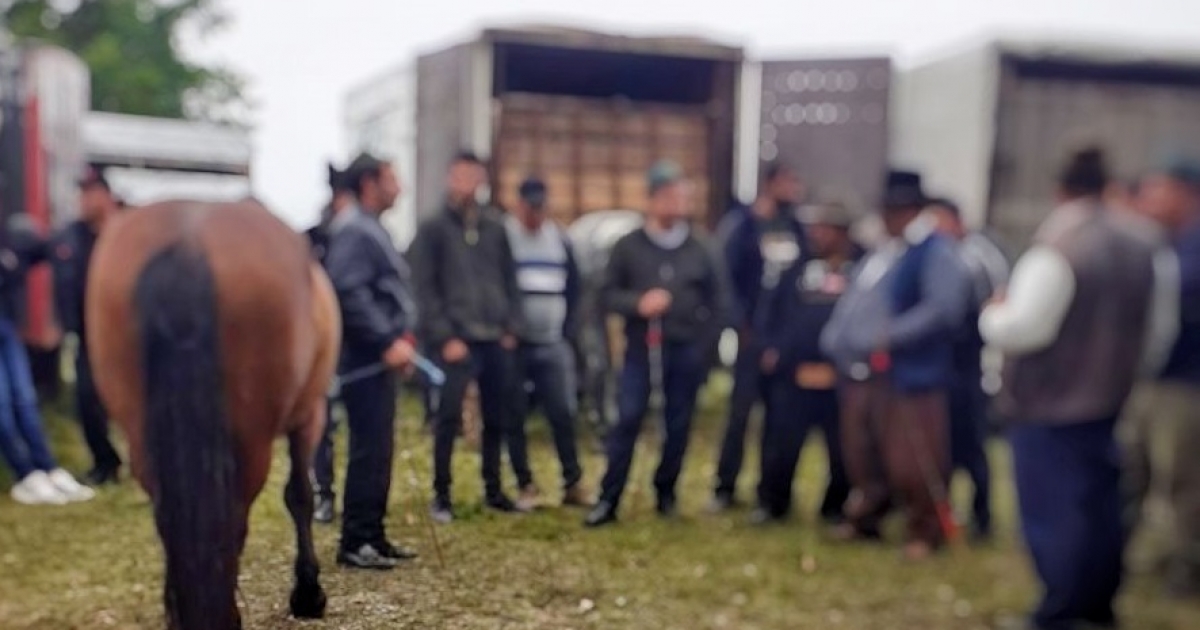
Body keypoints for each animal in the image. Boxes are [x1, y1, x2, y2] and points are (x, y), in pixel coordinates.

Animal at [86, 199, 340, 624]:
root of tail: (187, 244)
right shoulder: (309, 415)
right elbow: (300, 496)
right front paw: (308, 594)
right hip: (251, 445)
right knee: (230, 523)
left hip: (145, 441)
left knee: (171, 521)